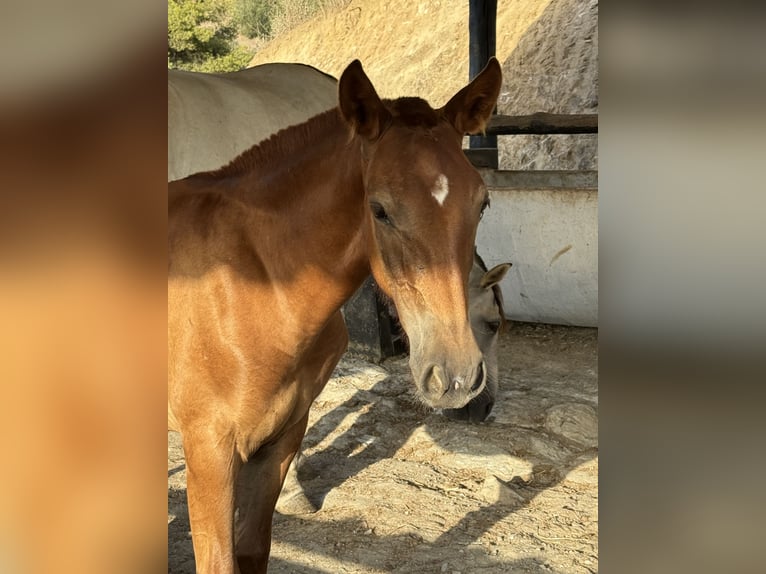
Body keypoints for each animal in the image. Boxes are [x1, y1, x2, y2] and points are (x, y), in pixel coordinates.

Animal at [168, 59, 504, 574]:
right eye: (380, 210)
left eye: (482, 203)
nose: (458, 379)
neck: (255, 283)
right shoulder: (208, 449)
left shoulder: (280, 440)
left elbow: (253, 549)